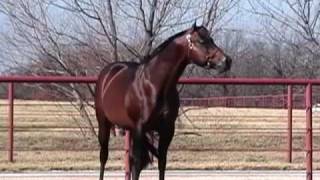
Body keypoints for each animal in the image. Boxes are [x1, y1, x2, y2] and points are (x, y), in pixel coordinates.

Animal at [94, 23, 231, 180]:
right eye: (202, 41)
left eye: (211, 39)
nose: (227, 61)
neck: (154, 84)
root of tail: (108, 72)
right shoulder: (140, 128)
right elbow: (137, 163)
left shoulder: (167, 130)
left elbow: (162, 162)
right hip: (104, 123)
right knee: (104, 156)